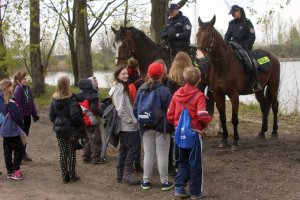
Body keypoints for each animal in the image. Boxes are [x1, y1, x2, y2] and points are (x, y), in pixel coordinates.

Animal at [197, 15, 282, 149]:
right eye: (197, 34)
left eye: (209, 35)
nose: (199, 56)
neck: (224, 65)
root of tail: (273, 57)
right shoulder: (218, 95)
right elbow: (223, 117)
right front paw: (224, 140)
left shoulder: (234, 95)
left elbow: (234, 119)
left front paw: (235, 141)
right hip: (259, 90)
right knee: (264, 106)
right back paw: (262, 132)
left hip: (273, 87)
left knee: (274, 106)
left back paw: (274, 132)